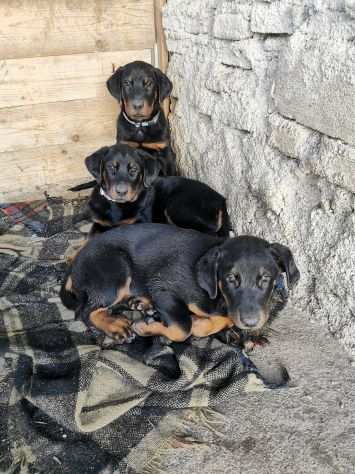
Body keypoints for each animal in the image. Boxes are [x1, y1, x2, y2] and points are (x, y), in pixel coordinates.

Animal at [61, 224, 300, 342]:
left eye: (266, 279)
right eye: (230, 279)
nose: (251, 323)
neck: (218, 296)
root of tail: (76, 261)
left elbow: (222, 319)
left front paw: (201, 323)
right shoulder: (163, 286)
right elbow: (182, 328)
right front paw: (148, 328)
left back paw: (143, 303)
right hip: (116, 270)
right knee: (86, 312)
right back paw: (115, 325)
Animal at [85, 142, 231, 236]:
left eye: (134, 169)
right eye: (111, 167)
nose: (121, 192)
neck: (116, 206)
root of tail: (221, 200)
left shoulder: (139, 221)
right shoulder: (99, 223)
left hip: (177, 207)